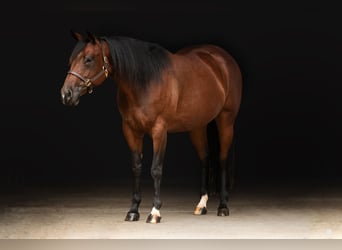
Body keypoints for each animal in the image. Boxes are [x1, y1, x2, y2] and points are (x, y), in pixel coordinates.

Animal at [60, 30, 242, 224]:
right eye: (71, 60)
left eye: (88, 59)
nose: (66, 94)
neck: (145, 81)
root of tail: (222, 58)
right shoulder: (131, 130)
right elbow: (136, 167)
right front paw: (133, 210)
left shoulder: (159, 131)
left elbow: (156, 169)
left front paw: (155, 212)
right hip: (197, 126)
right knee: (205, 159)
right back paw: (201, 205)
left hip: (226, 120)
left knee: (222, 160)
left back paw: (223, 206)